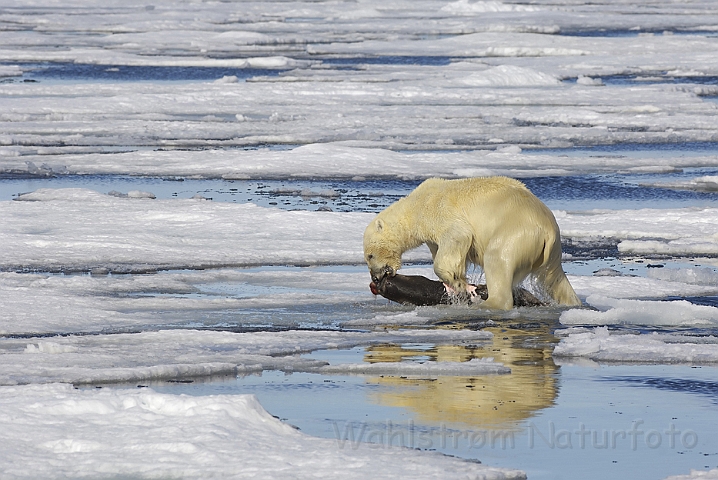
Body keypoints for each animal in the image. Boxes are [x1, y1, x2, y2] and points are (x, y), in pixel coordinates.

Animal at [366, 178, 584, 310]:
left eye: (369, 255)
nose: (376, 277)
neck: (416, 205)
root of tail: (547, 230)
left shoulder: (439, 212)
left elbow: (457, 236)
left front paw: (457, 282)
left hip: (516, 233)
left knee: (498, 259)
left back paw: (487, 302)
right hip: (551, 252)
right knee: (555, 279)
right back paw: (570, 302)